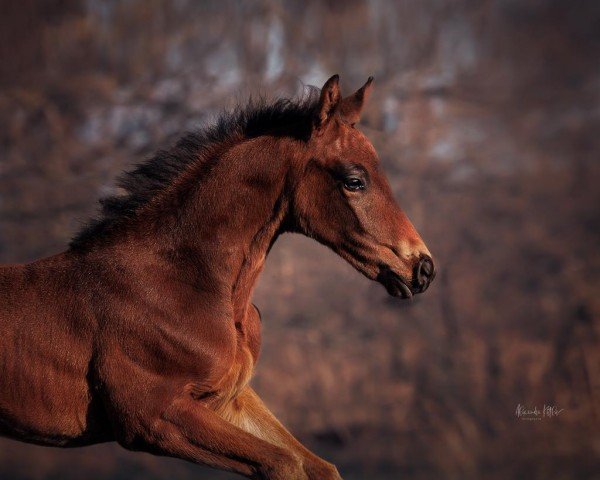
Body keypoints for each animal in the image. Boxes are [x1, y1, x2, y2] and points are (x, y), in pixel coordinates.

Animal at [0, 77, 434, 478]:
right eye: (354, 180)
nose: (423, 268)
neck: (185, 285)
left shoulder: (229, 399)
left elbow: (318, 466)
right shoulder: (152, 418)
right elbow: (284, 463)